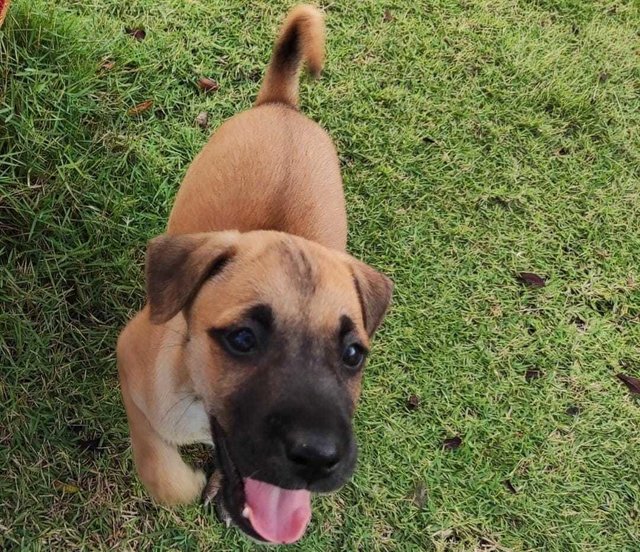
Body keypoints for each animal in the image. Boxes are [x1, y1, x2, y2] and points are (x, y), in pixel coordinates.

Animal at [117, 6, 392, 544]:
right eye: (242, 339)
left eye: (353, 354)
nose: (318, 458)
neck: (197, 397)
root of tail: (282, 103)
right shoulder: (132, 362)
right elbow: (160, 471)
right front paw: (186, 481)